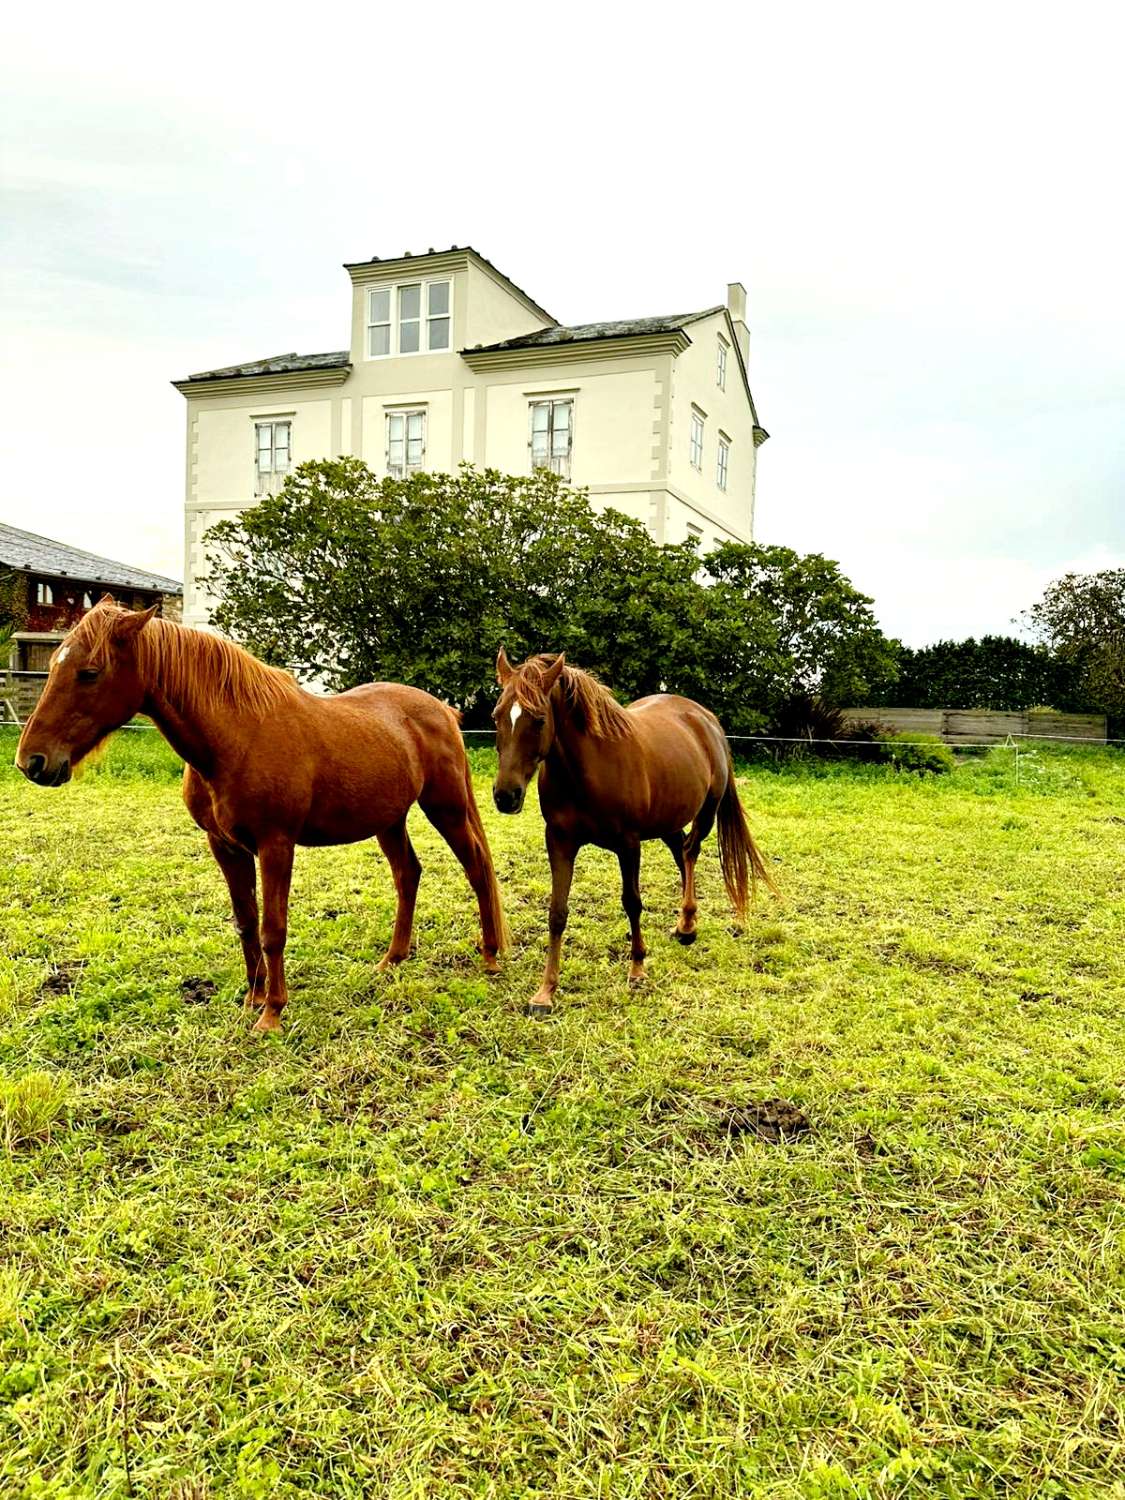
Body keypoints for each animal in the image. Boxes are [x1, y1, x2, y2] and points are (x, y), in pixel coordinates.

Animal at [15, 597, 510, 1032]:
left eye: (89, 672)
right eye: (55, 664)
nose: (32, 761)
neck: (237, 736)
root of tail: (442, 710)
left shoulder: (275, 845)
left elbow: (273, 927)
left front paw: (272, 1012)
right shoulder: (225, 846)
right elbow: (246, 921)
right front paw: (253, 997)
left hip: (446, 807)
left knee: (476, 869)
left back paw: (489, 955)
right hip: (389, 819)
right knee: (408, 875)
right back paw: (392, 959)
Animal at [492, 651, 774, 1014]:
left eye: (539, 719)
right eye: (496, 715)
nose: (506, 795)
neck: (588, 769)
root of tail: (705, 718)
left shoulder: (628, 844)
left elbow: (632, 902)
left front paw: (637, 968)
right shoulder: (559, 841)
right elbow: (557, 912)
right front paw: (545, 991)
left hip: (706, 813)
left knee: (690, 853)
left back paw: (687, 926)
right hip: (669, 821)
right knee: (681, 853)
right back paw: (685, 925)